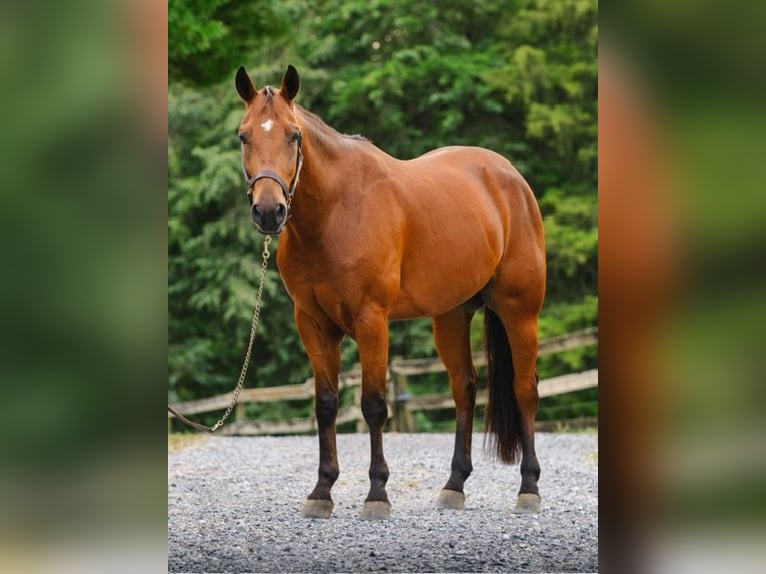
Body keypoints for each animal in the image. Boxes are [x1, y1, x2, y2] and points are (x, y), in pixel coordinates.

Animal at [234, 65, 546, 519]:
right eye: (244, 136)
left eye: (294, 136)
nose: (269, 211)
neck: (334, 213)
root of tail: (510, 177)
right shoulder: (312, 323)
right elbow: (326, 404)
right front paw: (321, 491)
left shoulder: (372, 320)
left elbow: (374, 405)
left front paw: (377, 493)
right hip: (451, 316)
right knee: (464, 388)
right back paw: (454, 486)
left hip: (519, 311)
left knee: (524, 388)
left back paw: (529, 487)